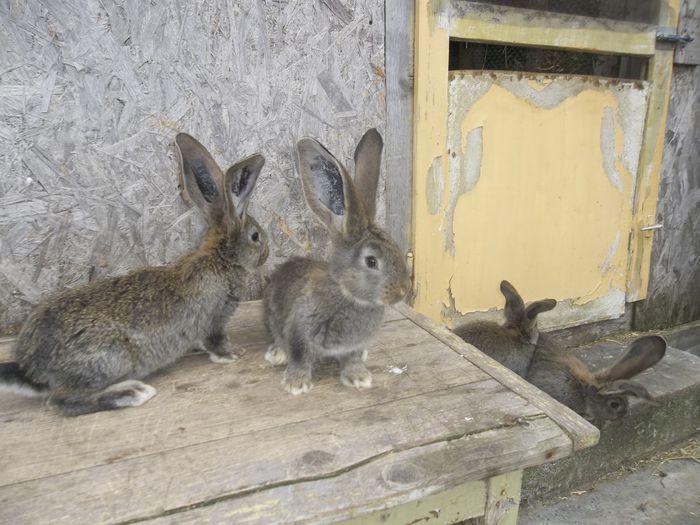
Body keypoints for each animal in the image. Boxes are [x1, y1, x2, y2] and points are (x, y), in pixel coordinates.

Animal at [0, 133, 270, 416]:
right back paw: (132, 393)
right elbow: (217, 341)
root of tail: (30, 370)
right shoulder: (214, 318)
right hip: (110, 359)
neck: (221, 258)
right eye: (255, 237)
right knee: (62, 401)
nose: (267, 254)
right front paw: (233, 354)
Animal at [266, 129, 412, 396]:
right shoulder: (299, 332)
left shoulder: (353, 345)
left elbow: (352, 358)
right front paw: (296, 384)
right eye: (371, 261)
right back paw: (277, 354)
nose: (402, 290)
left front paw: (359, 378)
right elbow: (300, 358)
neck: (346, 293)